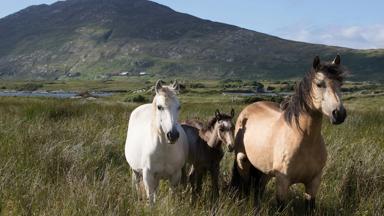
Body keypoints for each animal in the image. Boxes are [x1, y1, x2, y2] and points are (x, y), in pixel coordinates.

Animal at [231, 54, 348, 210]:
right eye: (319, 84)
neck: (304, 139)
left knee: (258, 189)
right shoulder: (282, 181)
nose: (339, 114)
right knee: (245, 186)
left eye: (340, 84)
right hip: (243, 163)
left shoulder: (313, 183)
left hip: (264, 171)